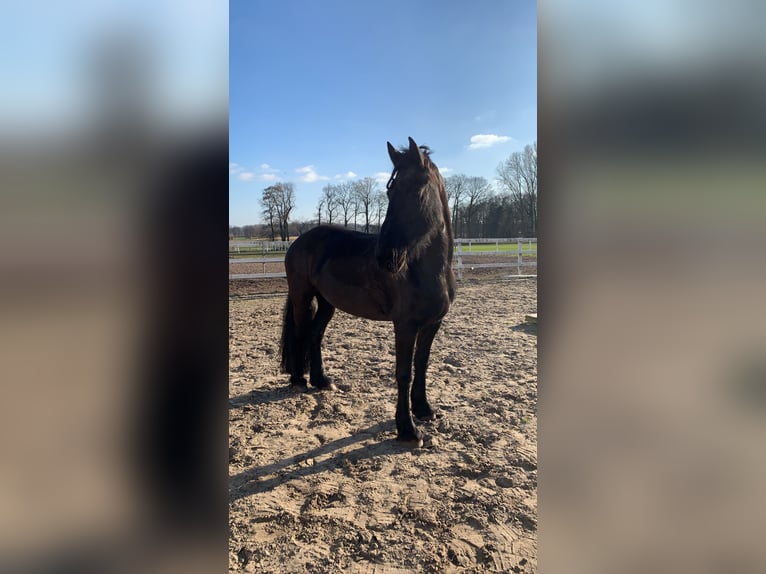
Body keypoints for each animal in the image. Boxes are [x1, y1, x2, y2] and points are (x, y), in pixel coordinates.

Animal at [279, 137, 456, 446]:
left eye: (417, 189)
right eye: (390, 191)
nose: (385, 256)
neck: (429, 270)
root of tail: (299, 240)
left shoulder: (433, 323)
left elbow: (422, 364)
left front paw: (424, 409)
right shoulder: (405, 325)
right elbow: (404, 373)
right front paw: (407, 429)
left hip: (327, 303)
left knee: (315, 335)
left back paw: (321, 380)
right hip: (302, 297)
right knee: (301, 334)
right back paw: (299, 381)